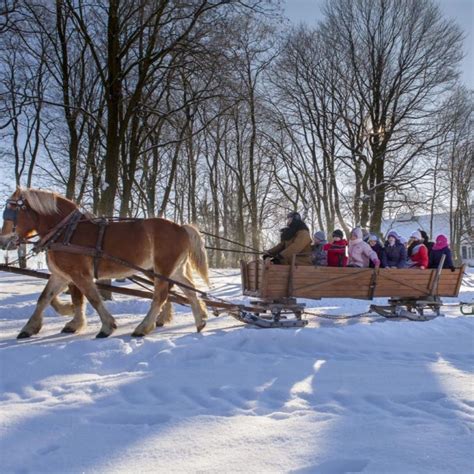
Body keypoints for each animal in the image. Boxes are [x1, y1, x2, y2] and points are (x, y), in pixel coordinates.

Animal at [0, 187, 209, 338]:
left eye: (11, 213)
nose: (3, 241)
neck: (67, 232)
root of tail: (181, 228)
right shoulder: (62, 275)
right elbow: (46, 298)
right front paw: (31, 328)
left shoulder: (79, 274)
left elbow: (92, 298)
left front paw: (107, 326)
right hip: (172, 270)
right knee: (189, 290)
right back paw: (199, 321)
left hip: (161, 269)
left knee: (161, 296)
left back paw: (143, 327)